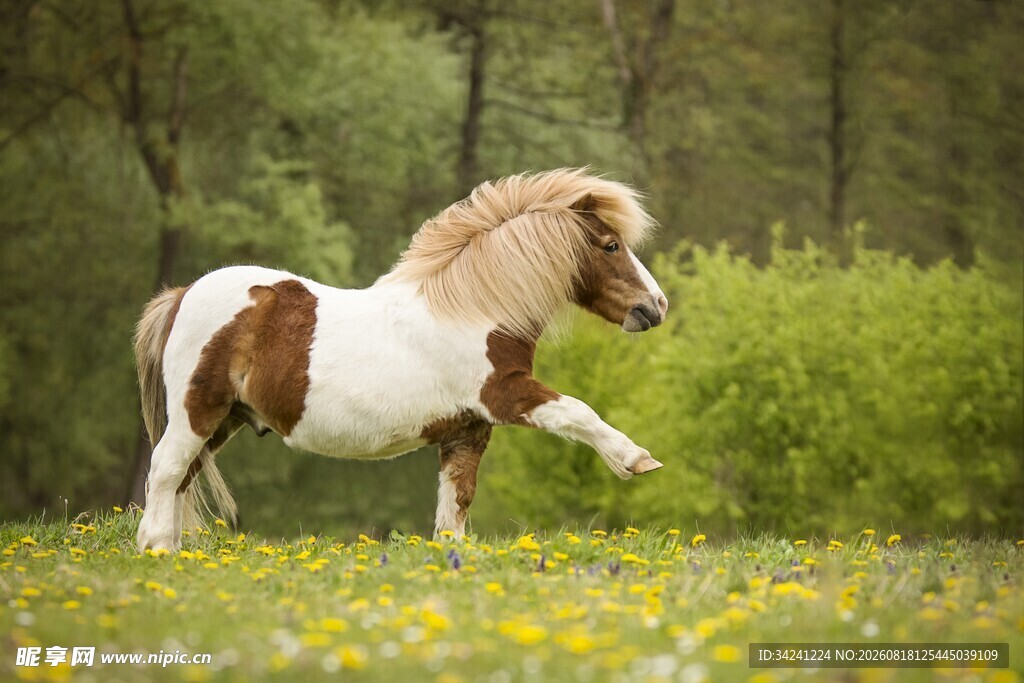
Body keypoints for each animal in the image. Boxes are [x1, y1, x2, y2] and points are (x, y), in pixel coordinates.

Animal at [133, 168, 669, 551]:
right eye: (611, 245)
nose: (656, 306)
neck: (476, 310)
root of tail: (182, 295)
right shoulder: (505, 396)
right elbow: (578, 411)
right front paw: (637, 460)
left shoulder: (468, 430)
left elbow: (456, 503)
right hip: (197, 411)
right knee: (165, 470)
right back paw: (156, 549)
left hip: (225, 420)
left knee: (180, 479)